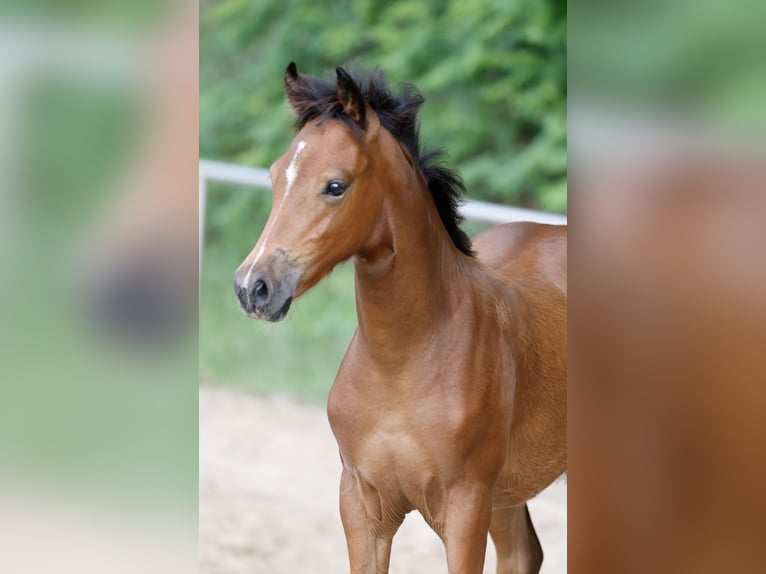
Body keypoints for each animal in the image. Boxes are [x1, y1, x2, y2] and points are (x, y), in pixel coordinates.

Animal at [233, 62, 567, 574]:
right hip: (509, 494)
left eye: (336, 185)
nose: (253, 287)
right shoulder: (361, 505)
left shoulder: (465, 508)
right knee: (522, 553)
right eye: (274, 177)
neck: (401, 363)